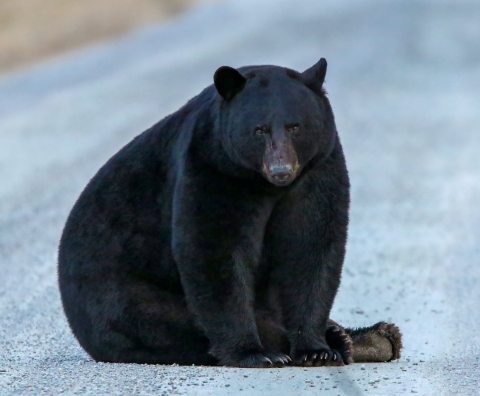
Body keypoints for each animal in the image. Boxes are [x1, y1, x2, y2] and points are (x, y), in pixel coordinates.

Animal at [58, 57, 402, 366]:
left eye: (295, 126)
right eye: (259, 130)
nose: (281, 170)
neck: (264, 185)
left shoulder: (318, 167)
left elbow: (311, 244)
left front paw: (316, 349)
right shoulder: (214, 169)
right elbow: (214, 250)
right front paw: (254, 353)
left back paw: (369, 338)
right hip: (123, 297)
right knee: (166, 322)